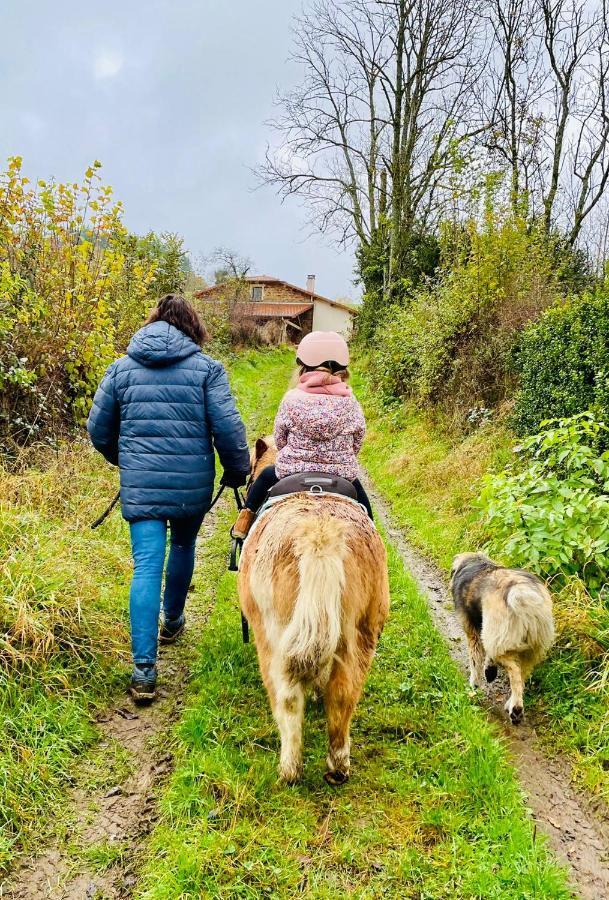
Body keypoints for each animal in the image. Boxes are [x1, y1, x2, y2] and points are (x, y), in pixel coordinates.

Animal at [448, 548, 552, 724]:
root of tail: (524, 595)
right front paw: (489, 671)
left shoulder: (474, 633)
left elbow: (475, 661)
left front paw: (474, 685)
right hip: (531, 649)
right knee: (522, 674)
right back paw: (511, 702)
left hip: (501, 642)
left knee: (515, 671)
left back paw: (516, 709)